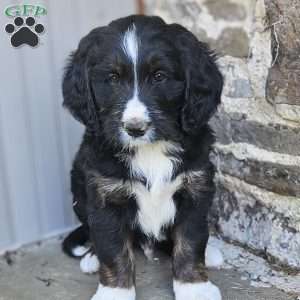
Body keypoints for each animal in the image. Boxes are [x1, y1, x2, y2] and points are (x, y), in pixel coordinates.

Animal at [62, 14, 224, 300]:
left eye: (159, 76)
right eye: (112, 78)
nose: (135, 128)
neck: (150, 150)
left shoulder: (195, 189)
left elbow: (190, 242)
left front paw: (194, 287)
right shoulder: (106, 197)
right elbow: (113, 249)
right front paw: (114, 292)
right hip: (79, 190)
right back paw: (91, 257)